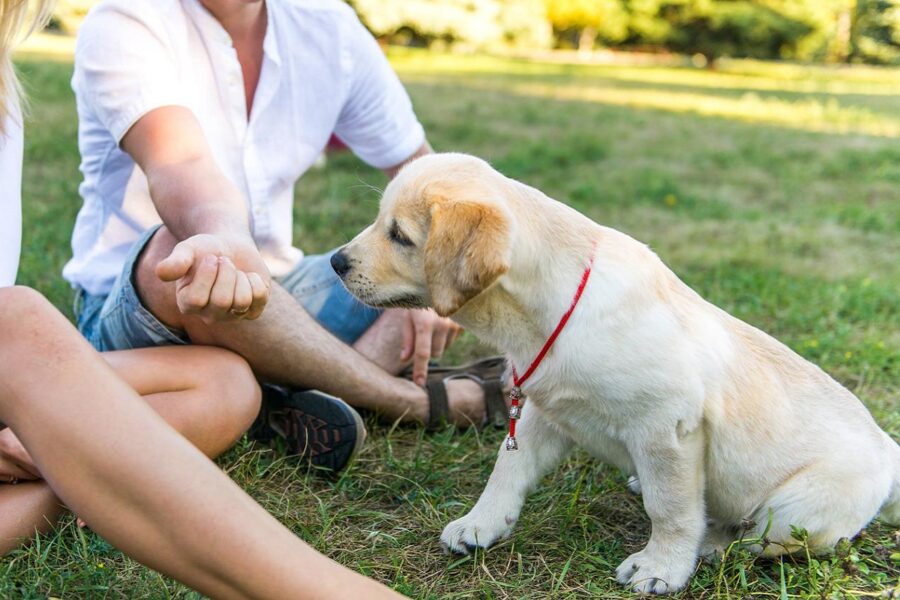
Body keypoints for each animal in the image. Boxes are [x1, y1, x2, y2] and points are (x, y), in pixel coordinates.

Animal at [332, 152, 900, 592]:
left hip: (795, 508)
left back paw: (713, 543)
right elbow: (505, 471)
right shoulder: (545, 412)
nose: (336, 262)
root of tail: (888, 452)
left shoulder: (667, 429)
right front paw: (480, 524)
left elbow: (671, 508)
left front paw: (662, 568)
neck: (554, 312)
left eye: (399, 235)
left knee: (760, 539)